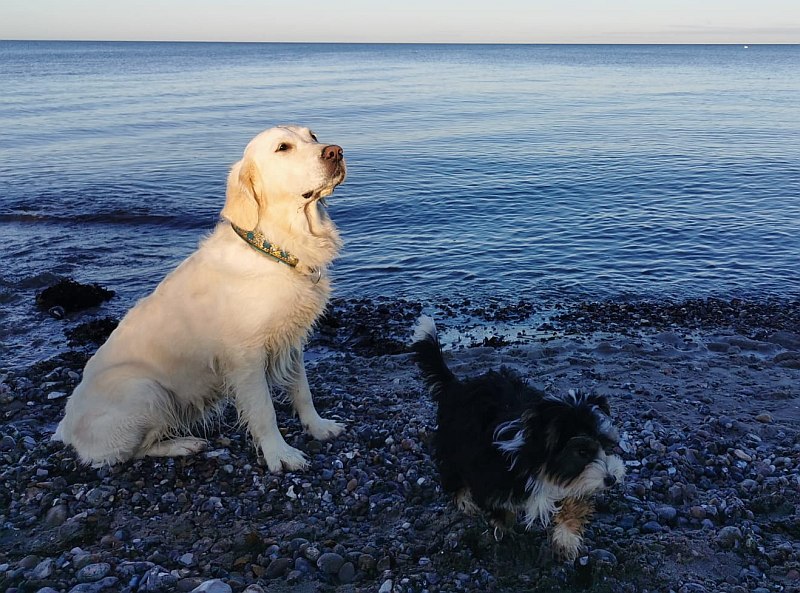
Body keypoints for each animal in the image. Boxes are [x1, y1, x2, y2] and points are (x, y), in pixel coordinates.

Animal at [53, 125, 346, 472]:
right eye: (282, 148)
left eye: (312, 135)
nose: (335, 151)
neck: (277, 248)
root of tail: (65, 428)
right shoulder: (246, 357)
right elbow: (264, 411)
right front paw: (280, 454)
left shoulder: (291, 342)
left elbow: (302, 390)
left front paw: (318, 426)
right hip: (145, 389)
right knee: (130, 452)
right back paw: (184, 444)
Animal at [411, 316, 625, 560]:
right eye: (582, 451)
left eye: (606, 447)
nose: (611, 479)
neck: (538, 464)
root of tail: (457, 387)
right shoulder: (490, 476)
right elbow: (500, 508)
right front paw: (503, 528)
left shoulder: (570, 479)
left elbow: (573, 502)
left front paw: (566, 540)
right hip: (453, 443)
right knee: (451, 472)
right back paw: (464, 499)